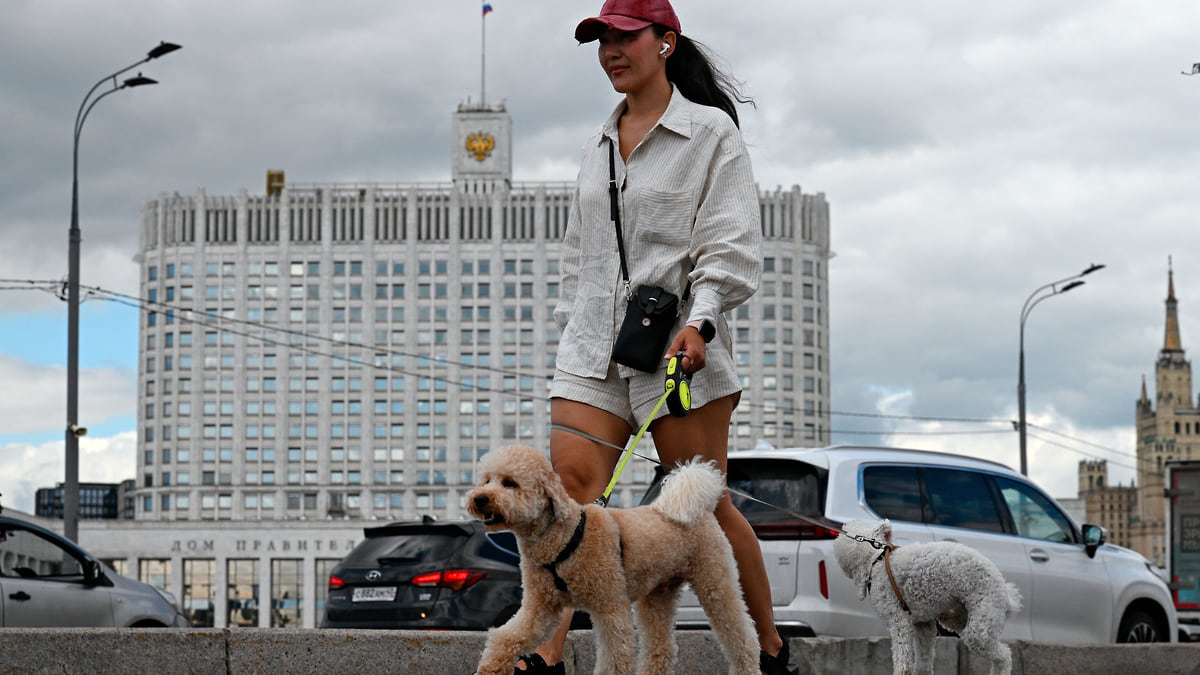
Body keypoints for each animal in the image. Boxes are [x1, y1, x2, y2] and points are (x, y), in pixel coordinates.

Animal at [463, 441, 753, 672]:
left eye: (510, 483)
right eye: (487, 480)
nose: (479, 498)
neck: (562, 538)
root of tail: (698, 510)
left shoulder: (610, 606)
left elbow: (616, 656)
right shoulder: (540, 609)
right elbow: (506, 637)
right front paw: (490, 668)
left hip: (715, 582)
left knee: (743, 637)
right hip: (658, 595)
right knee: (661, 649)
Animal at [835, 516, 1022, 667]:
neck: (876, 559)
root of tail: (1006, 592)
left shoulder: (898, 620)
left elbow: (903, 661)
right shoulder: (923, 624)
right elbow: (924, 662)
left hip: (983, 621)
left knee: (1004, 656)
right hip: (967, 613)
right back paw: (947, 616)